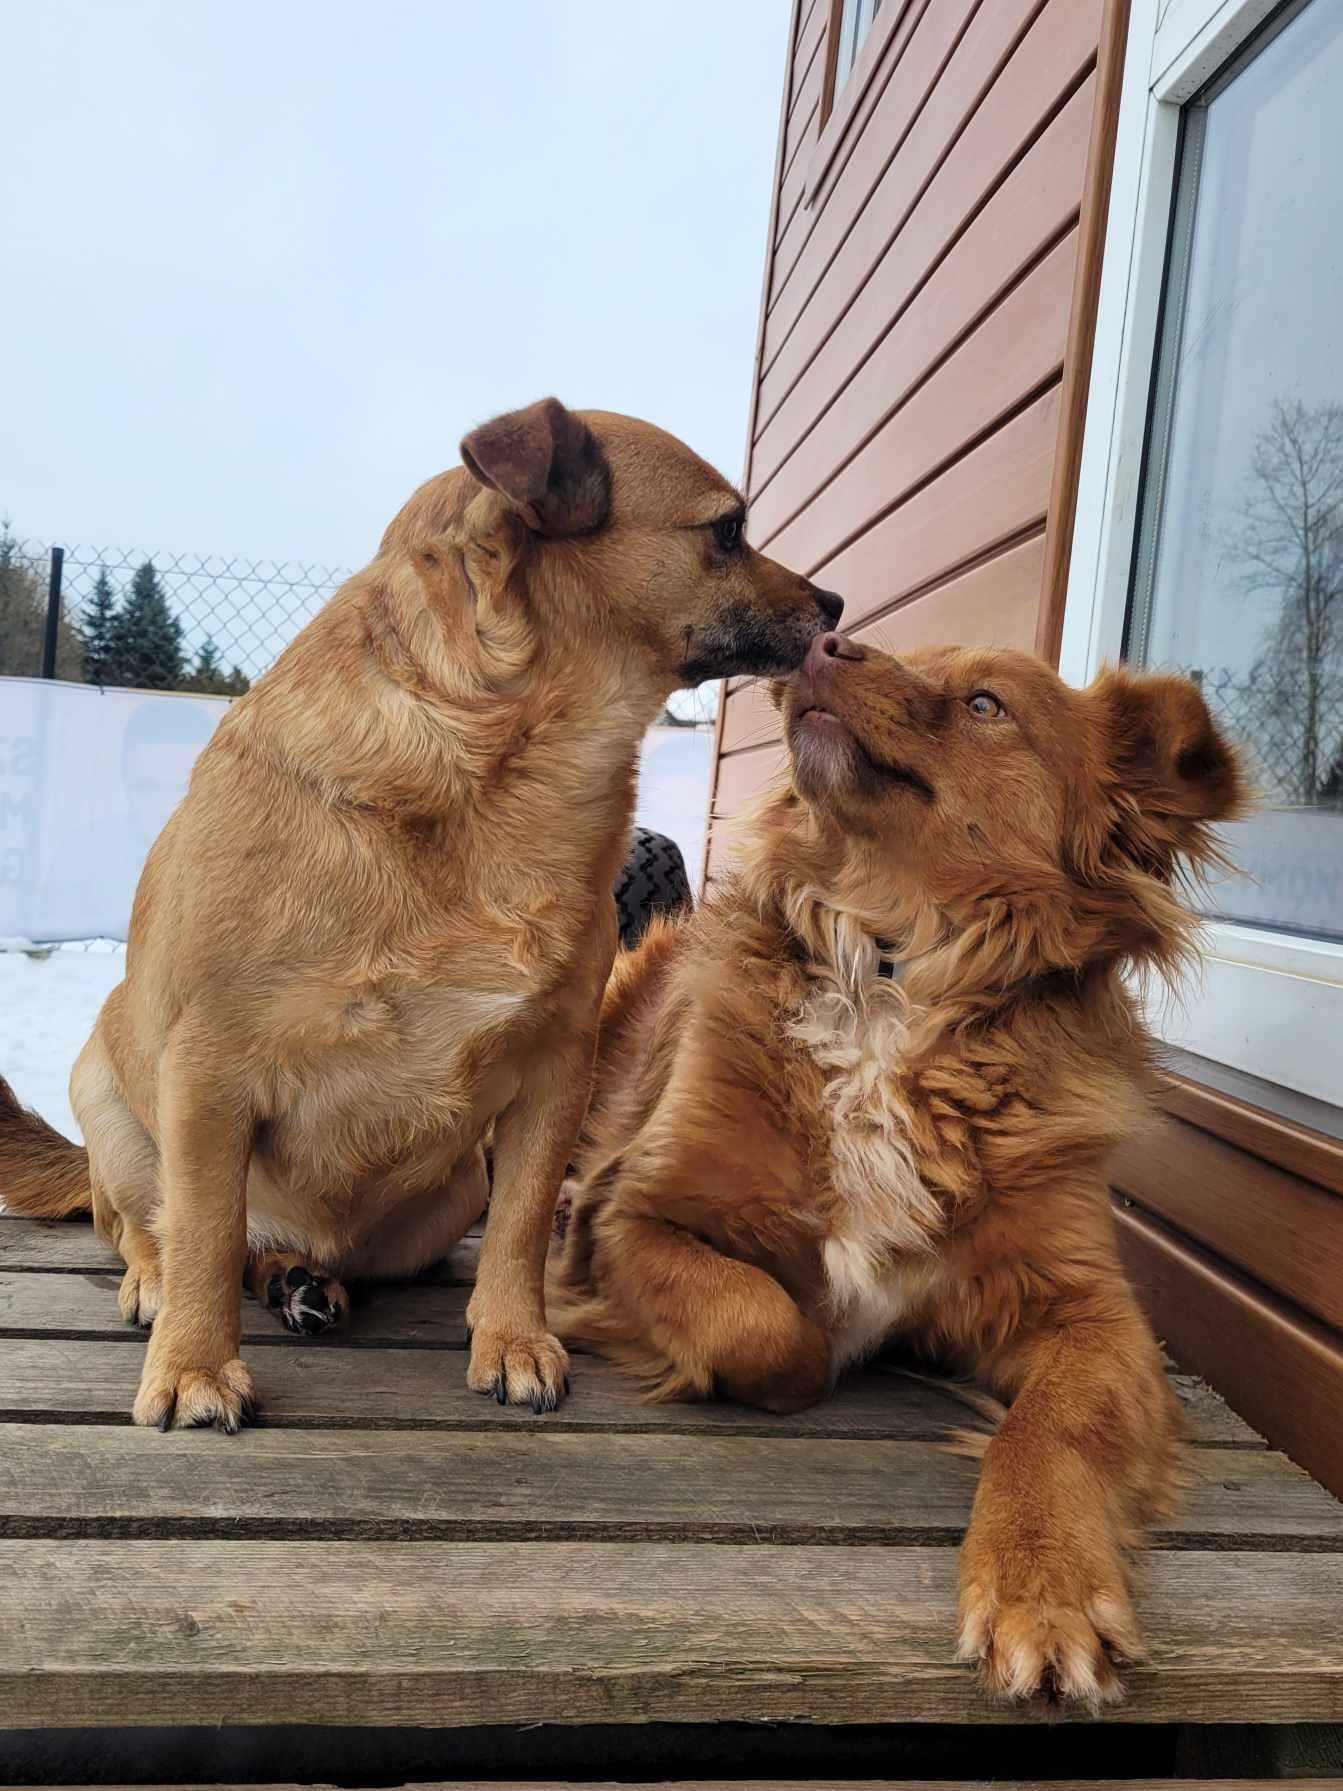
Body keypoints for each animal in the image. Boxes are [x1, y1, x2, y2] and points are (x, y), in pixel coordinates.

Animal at [0, 399, 841, 1432]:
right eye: (727, 531)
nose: (837, 608)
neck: (503, 765)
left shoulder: (555, 1073)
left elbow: (521, 1225)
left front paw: (511, 1337)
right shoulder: (207, 1072)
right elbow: (202, 1227)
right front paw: (195, 1365)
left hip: (449, 1189)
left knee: (294, 1249)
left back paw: (303, 1278)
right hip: (112, 1105)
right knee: (155, 1229)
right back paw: (175, 1284)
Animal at [551, 630, 1246, 1705]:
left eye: (984, 703)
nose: (823, 639)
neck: (889, 970)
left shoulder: (1092, 1313)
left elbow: (1053, 1427)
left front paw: (1041, 1584)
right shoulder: (627, 1212)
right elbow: (768, 1327)